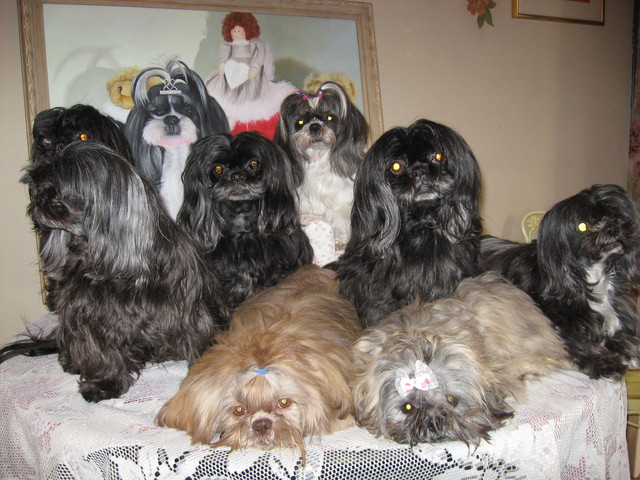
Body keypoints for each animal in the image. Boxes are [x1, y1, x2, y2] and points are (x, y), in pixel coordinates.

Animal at [0, 142, 230, 402]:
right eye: (40, 187)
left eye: (56, 190)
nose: (38, 200)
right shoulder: (87, 314)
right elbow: (102, 353)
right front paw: (104, 383)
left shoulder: (192, 313)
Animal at [480, 184, 640, 378]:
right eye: (582, 226)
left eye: (616, 215)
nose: (612, 228)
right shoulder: (553, 325)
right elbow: (575, 343)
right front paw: (604, 361)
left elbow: (625, 338)